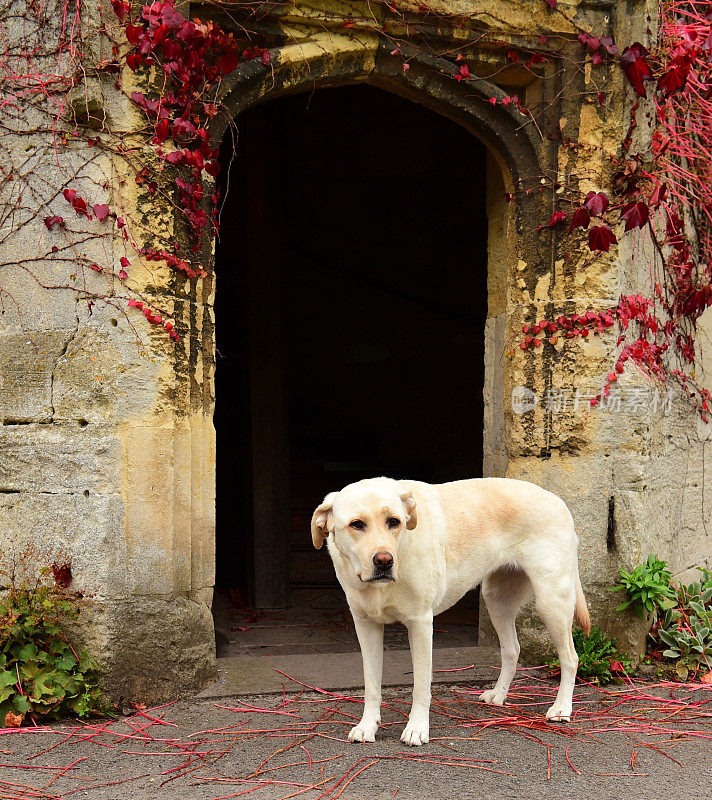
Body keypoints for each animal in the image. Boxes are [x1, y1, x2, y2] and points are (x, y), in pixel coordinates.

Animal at [312, 476, 588, 744]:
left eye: (394, 522)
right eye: (357, 524)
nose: (384, 561)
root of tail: (558, 500)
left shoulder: (421, 624)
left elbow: (421, 686)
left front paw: (417, 729)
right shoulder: (366, 625)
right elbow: (371, 686)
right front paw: (367, 727)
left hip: (551, 602)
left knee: (570, 657)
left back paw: (561, 708)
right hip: (496, 600)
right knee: (512, 650)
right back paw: (499, 695)